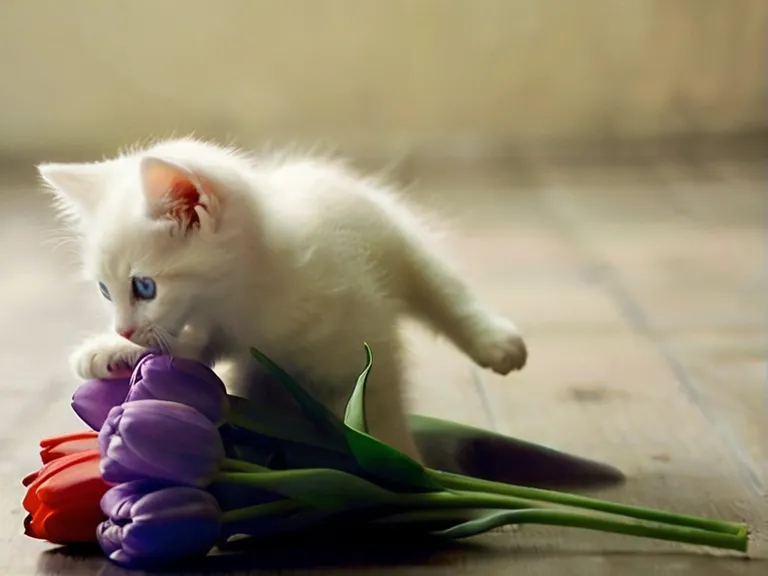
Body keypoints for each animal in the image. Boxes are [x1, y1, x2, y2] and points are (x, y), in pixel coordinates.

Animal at [39, 138, 524, 460]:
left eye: (144, 287)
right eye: (105, 290)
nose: (123, 328)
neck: (246, 301)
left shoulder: (362, 330)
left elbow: (377, 398)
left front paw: (400, 461)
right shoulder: (219, 332)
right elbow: (184, 349)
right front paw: (109, 351)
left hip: (392, 235)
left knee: (435, 279)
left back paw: (496, 342)